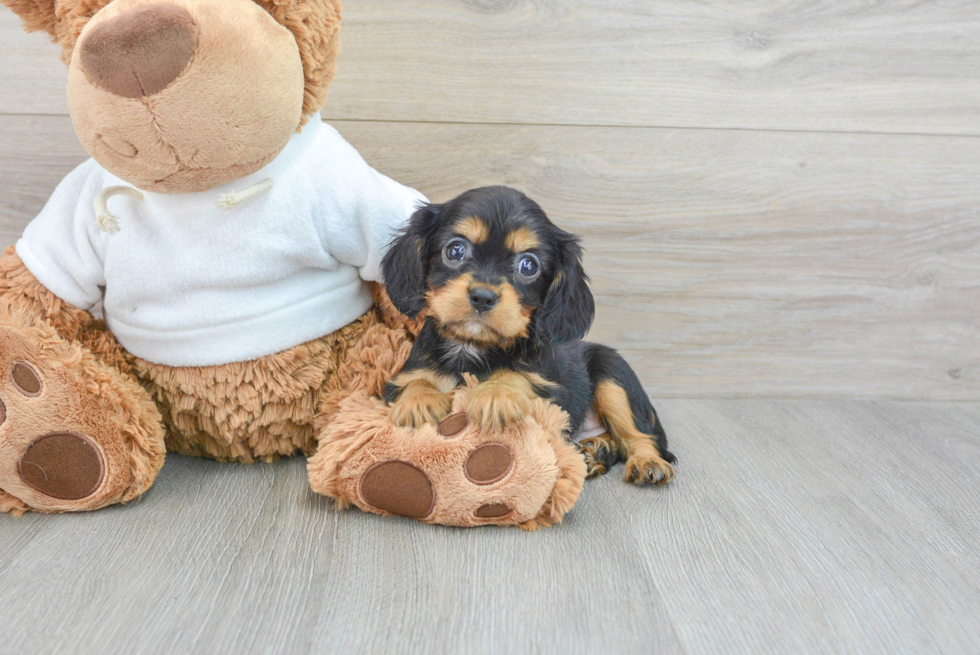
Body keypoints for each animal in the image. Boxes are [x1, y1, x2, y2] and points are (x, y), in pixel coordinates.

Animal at [380, 187, 672, 484]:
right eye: (455, 250)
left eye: (528, 266)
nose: (482, 297)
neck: (471, 347)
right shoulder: (397, 382)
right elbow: (416, 381)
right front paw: (420, 401)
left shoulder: (551, 394)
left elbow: (515, 374)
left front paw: (496, 394)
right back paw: (595, 453)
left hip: (613, 373)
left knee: (639, 436)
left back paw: (646, 462)